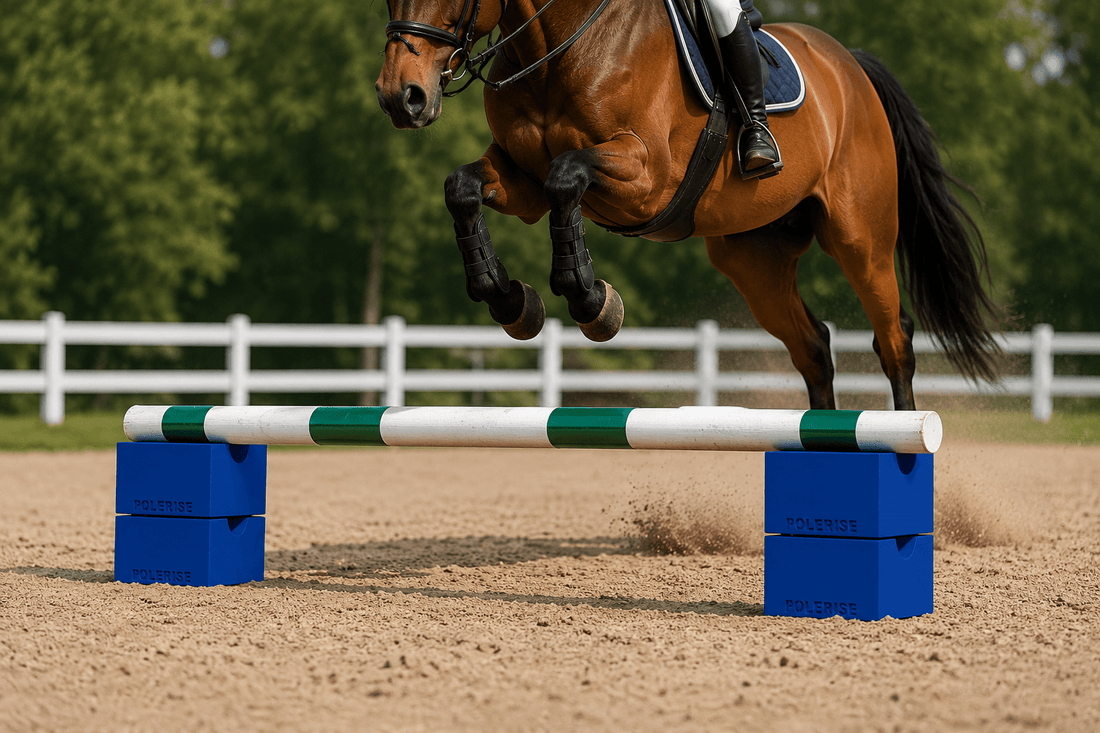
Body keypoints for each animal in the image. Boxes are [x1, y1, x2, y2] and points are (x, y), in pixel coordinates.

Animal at [375, 0, 1000, 411]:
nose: (400, 97)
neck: (555, 48)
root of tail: (849, 65)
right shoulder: (519, 178)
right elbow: (464, 187)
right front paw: (509, 299)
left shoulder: (646, 175)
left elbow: (566, 177)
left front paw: (590, 299)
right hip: (753, 259)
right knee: (814, 348)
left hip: (860, 239)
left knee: (894, 340)